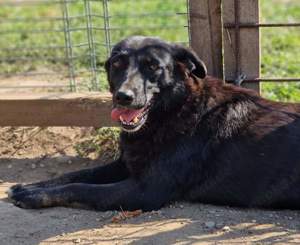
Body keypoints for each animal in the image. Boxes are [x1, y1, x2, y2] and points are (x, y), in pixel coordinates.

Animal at [8, 36, 298, 211]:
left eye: (153, 66)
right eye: (117, 63)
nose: (123, 96)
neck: (174, 112)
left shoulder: (146, 191)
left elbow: (81, 188)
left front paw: (34, 197)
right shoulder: (125, 165)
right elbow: (76, 175)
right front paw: (32, 186)